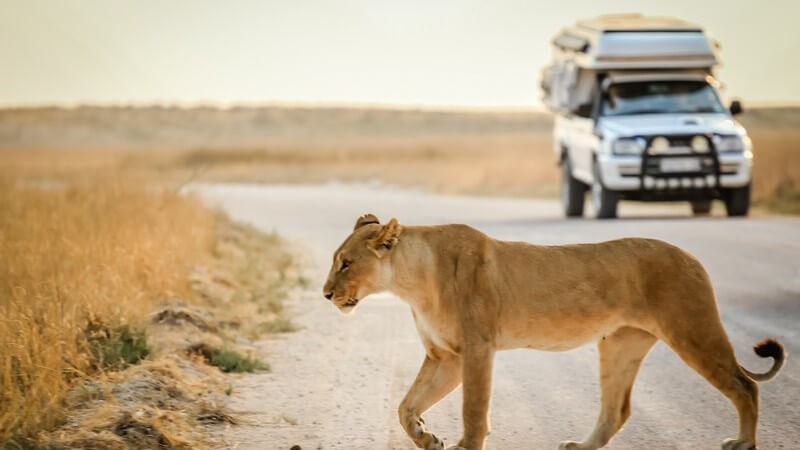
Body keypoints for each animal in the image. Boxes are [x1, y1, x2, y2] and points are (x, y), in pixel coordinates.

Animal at [322, 214, 785, 450]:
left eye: (346, 263)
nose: (326, 294)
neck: (411, 280)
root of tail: (693, 257)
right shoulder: (446, 357)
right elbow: (406, 405)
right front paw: (425, 437)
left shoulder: (476, 349)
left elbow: (473, 410)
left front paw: (459, 446)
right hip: (621, 345)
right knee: (616, 410)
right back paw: (579, 447)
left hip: (693, 329)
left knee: (745, 386)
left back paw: (742, 443)